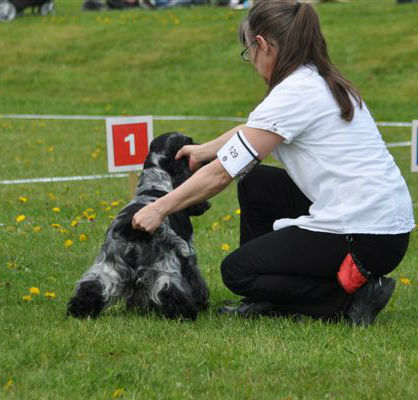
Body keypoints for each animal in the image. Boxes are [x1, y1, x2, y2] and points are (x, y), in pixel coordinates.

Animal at [69, 133, 212, 320]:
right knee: (170, 289)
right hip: (164, 264)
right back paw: (185, 314)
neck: (155, 183)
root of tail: (130, 227)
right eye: (189, 141)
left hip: (110, 263)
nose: (204, 155)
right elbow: (195, 280)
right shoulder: (189, 254)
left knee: (92, 285)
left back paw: (79, 310)